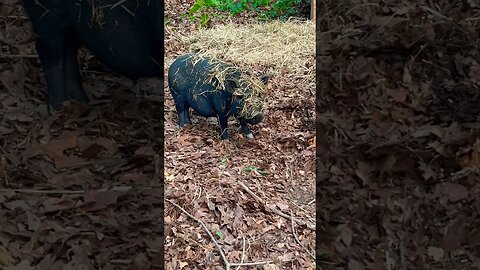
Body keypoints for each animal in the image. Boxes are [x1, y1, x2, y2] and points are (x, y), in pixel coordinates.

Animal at [21, 0, 163, 109]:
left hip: (70, 27)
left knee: (68, 52)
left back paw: (81, 101)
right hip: (45, 16)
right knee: (50, 54)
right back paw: (59, 108)